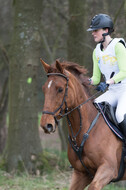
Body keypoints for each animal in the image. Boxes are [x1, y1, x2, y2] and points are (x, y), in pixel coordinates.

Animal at [40, 58, 126, 189]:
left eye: (60, 89)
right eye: (44, 89)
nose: (46, 125)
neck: (86, 130)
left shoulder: (108, 170)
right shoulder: (81, 173)